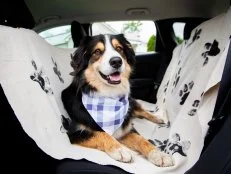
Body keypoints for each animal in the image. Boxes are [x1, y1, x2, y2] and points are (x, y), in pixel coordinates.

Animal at [61, 34, 173, 167]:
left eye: (119, 48)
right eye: (97, 51)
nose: (116, 61)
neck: (108, 96)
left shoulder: (125, 128)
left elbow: (142, 140)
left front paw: (158, 154)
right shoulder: (74, 133)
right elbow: (101, 134)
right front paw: (120, 150)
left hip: (130, 103)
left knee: (140, 110)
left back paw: (158, 118)